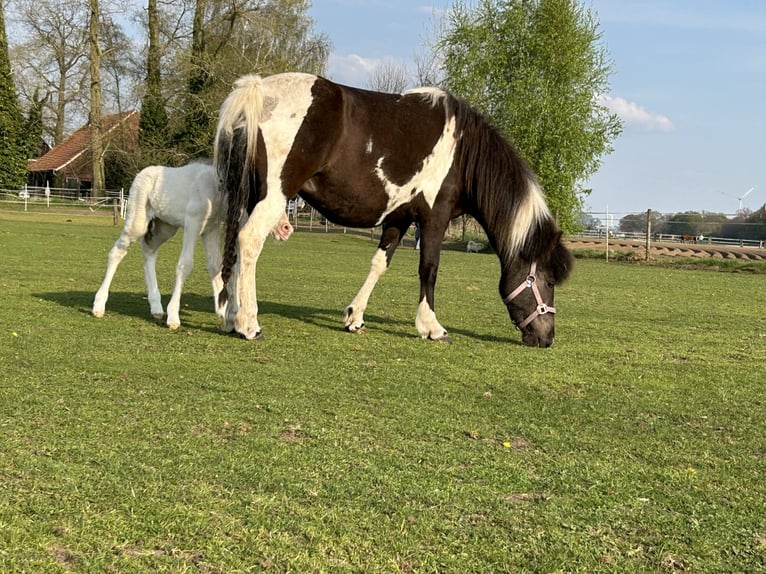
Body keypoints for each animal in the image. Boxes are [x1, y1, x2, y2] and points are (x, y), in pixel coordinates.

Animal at [92, 161, 293, 329]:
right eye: (264, 200)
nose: (286, 229)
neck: (216, 191)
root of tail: (141, 173)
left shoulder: (210, 229)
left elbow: (215, 266)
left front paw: (223, 312)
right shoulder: (193, 223)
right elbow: (185, 265)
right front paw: (173, 317)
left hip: (166, 226)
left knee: (148, 250)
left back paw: (156, 307)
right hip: (138, 221)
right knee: (118, 251)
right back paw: (99, 306)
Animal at [214, 73, 573, 347]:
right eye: (548, 282)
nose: (547, 338)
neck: (464, 151)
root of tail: (258, 89)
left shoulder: (398, 219)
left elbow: (379, 265)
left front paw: (354, 318)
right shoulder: (434, 218)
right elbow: (429, 268)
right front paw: (432, 327)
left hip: (248, 197)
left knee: (233, 245)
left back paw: (231, 317)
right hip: (274, 196)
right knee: (249, 241)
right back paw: (248, 324)